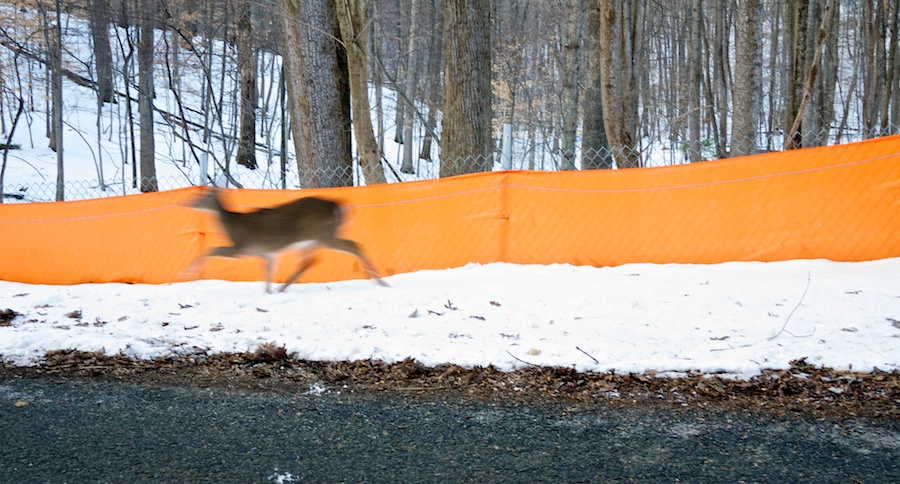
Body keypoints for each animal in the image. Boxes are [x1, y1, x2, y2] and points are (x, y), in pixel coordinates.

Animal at [186, 188, 388, 293]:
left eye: (202, 196)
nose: (187, 203)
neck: (232, 225)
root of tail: (337, 206)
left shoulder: (241, 248)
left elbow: (211, 250)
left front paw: (188, 271)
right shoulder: (267, 252)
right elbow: (268, 271)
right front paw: (267, 291)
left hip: (324, 234)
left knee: (354, 245)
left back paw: (380, 282)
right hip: (312, 239)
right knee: (310, 261)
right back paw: (282, 288)